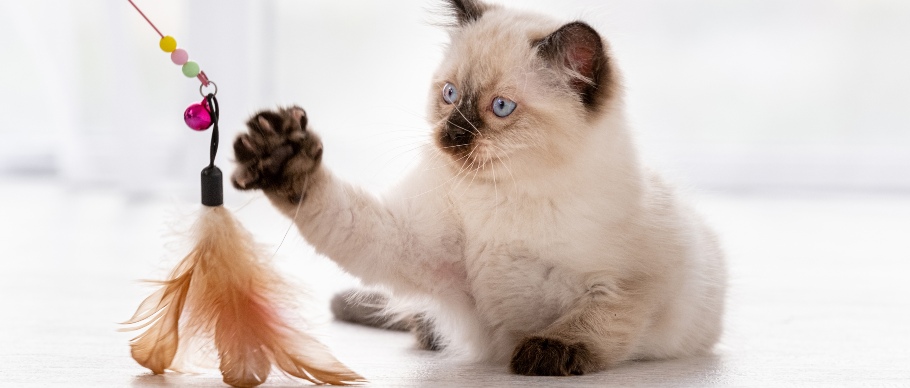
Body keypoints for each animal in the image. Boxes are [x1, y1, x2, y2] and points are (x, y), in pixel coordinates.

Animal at [233, 0, 728, 376]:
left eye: (501, 107)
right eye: (450, 95)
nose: (452, 136)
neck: (504, 196)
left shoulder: (634, 283)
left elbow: (596, 318)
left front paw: (544, 355)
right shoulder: (405, 242)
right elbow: (326, 202)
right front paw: (281, 157)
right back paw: (424, 330)